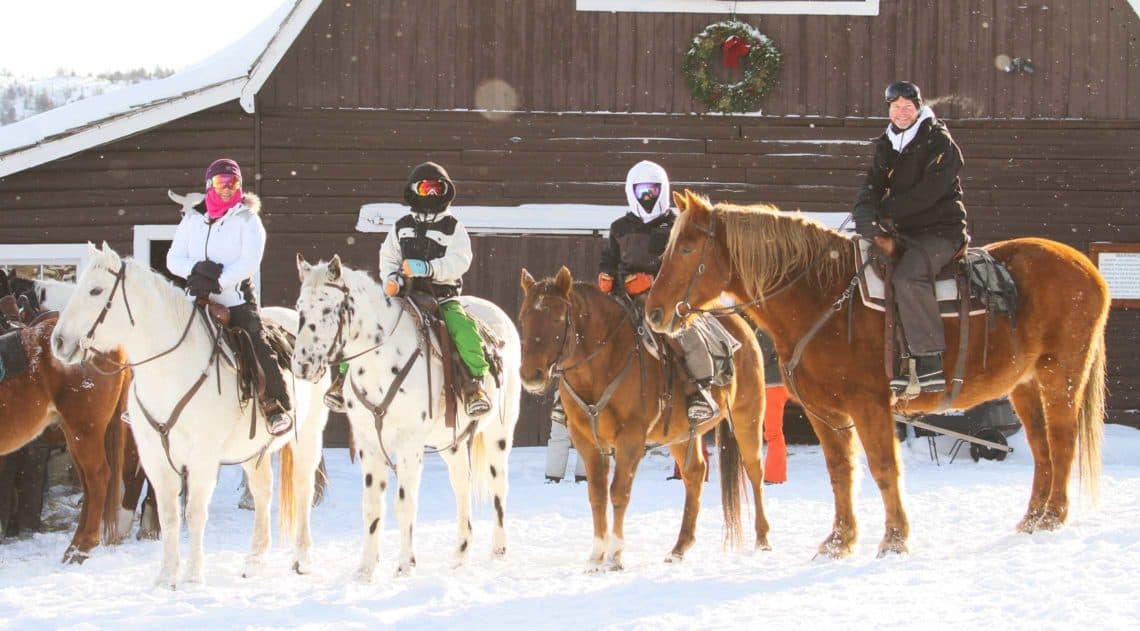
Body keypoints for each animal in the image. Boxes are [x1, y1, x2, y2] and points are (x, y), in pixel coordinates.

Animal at [0, 314, 129, 560]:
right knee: (88, 484)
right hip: (73, 434)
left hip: (85, 429)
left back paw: (82, 547)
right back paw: (74, 547)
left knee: (98, 478)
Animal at [53, 241, 330, 583]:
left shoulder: (203, 458)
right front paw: (166, 576)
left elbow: (195, 514)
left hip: (308, 434)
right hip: (253, 450)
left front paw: (194, 575)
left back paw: (302, 558)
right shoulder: (156, 460)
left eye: (95, 290)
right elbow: (170, 516)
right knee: (263, 491)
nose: (58, 341)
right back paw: (254, 560)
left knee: (303, 488)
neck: (170, 370)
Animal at [294, 252, 524, 576]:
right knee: (462, 485)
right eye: (300, 308)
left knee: (499, 485)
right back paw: (461, 552)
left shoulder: (409, 444)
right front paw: (366, 568)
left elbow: (405, 504)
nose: (302, 364)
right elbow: (372, 506)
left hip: (499, 433)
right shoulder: (368, 445)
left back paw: (499, 549)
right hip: (452, 443)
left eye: (328, 308)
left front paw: (405, 565)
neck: (381, 361)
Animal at [647, 189, 1108, 558]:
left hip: (1061, 375)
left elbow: (884, 468)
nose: (655, 312)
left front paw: (894, 539)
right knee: (1042, 447)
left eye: (686, 248)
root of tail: (1085, 267)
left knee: (1062, 440)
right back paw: (1033, 518)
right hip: (1025, 385)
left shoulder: (869, 405)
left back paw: (1053, 516)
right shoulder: (824, 412)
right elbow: (840, 473)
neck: (824, 298)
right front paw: (839, 541)